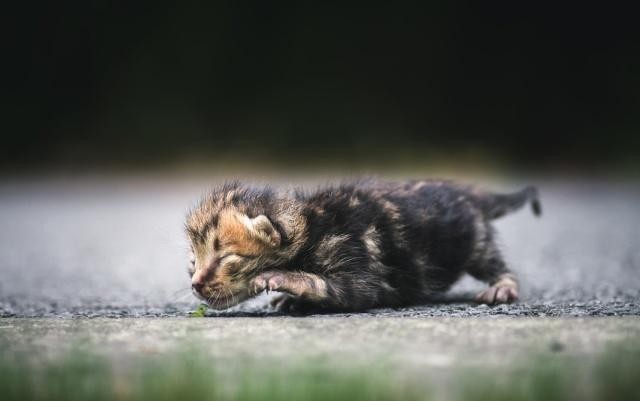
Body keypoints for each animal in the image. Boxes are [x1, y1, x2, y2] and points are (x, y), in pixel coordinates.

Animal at [184, 178, 540, 312]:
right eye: (193, 262)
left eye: (226, 257)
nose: (196, 284)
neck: (311, 223)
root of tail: (468, 192)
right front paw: (291, 299)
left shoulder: (356, 257)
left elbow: (347, 289)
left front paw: (287, 280)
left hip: (474, 240)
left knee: (494, 261)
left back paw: (503, 286)